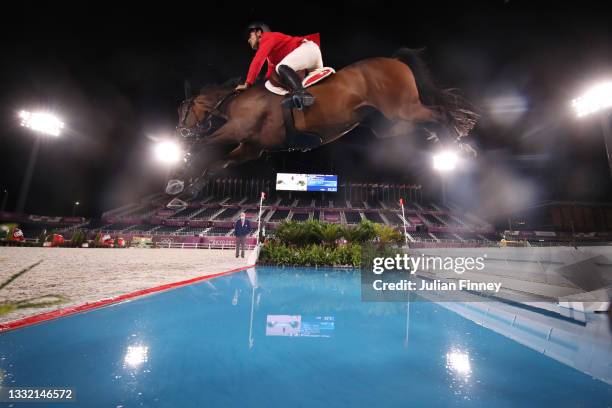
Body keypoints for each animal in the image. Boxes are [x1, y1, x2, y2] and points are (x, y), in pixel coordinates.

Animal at [171, 48, 478, 198]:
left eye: (182, 110)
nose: (181, 130)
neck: (235, 100)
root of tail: (395, 60)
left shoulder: (236, 129)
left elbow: (202, 145)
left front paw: (179, 173)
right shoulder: (251, 148)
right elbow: (216, 165)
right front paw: (190, 188)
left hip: (403, 110)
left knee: (440, 115)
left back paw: (459, 148)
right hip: (391, 123)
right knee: (433, 122)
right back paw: (458, 148)